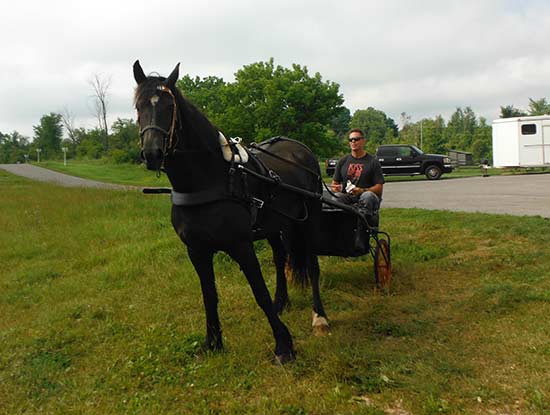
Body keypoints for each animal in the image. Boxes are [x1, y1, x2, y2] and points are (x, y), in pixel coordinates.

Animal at [133, 60, 329, 363]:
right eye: (139, 106)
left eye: (169, 105)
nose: (152, 153)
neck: (210, 178)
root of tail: (301, 149)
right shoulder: (197, 250)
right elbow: (209, 295)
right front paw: (213, 342)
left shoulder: (241, 246)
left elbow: (259, 292)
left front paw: (284, 345)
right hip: (275, 226)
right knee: (280, 258)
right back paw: (281, 302)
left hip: (310, 219)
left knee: (312, 264)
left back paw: (319, 317)